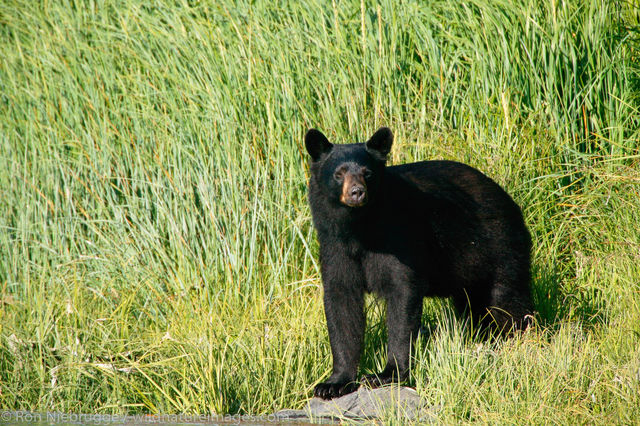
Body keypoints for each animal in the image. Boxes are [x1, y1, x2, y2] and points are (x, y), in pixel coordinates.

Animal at [304, 127, 532, 400]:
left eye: (367, 173)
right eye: (338, 174)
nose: (357, 192)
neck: (358, 228)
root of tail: (507, 197)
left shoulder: (400, 237)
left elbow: (402, 294)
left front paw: (387, 374)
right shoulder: (335, 247)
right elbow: (341, 304)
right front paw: (334, 383)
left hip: (501, 247)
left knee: (508, 300)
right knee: (473, 306)